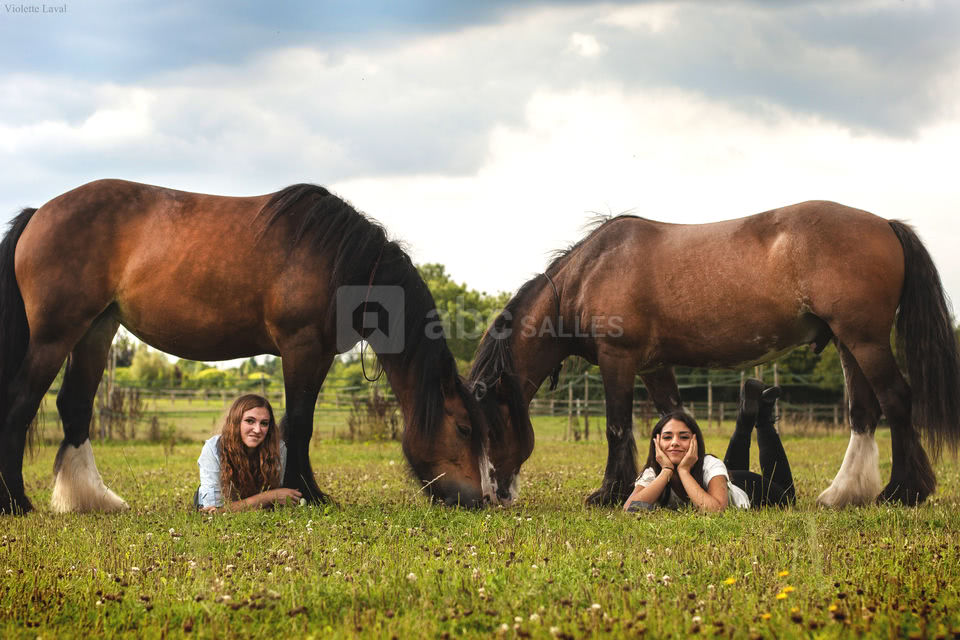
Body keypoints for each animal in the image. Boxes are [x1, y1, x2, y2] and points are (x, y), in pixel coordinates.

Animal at [0, 179, 490, 515]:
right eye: (465, 428)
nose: (478, 498)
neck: (340, 260)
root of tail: (41, 212)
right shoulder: (304, 348)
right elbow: (300, 424)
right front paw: (307, 494)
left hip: (96, 330)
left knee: (74, 407)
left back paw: (92, 500)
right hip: (55, 334)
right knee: (21, 403)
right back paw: (16, 503)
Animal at [469, 201, 960, 508]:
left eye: (488, 428)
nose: (490, 495)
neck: (590, 273)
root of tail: (885, 223)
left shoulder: (618, 360)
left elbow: (615, 426)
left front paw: (607, 493)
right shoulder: (653, 366)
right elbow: (670, 416)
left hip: (865, 339)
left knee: (896, 399)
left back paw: (903, 491)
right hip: (848, 342)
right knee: (863, 411)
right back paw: (842, 494)